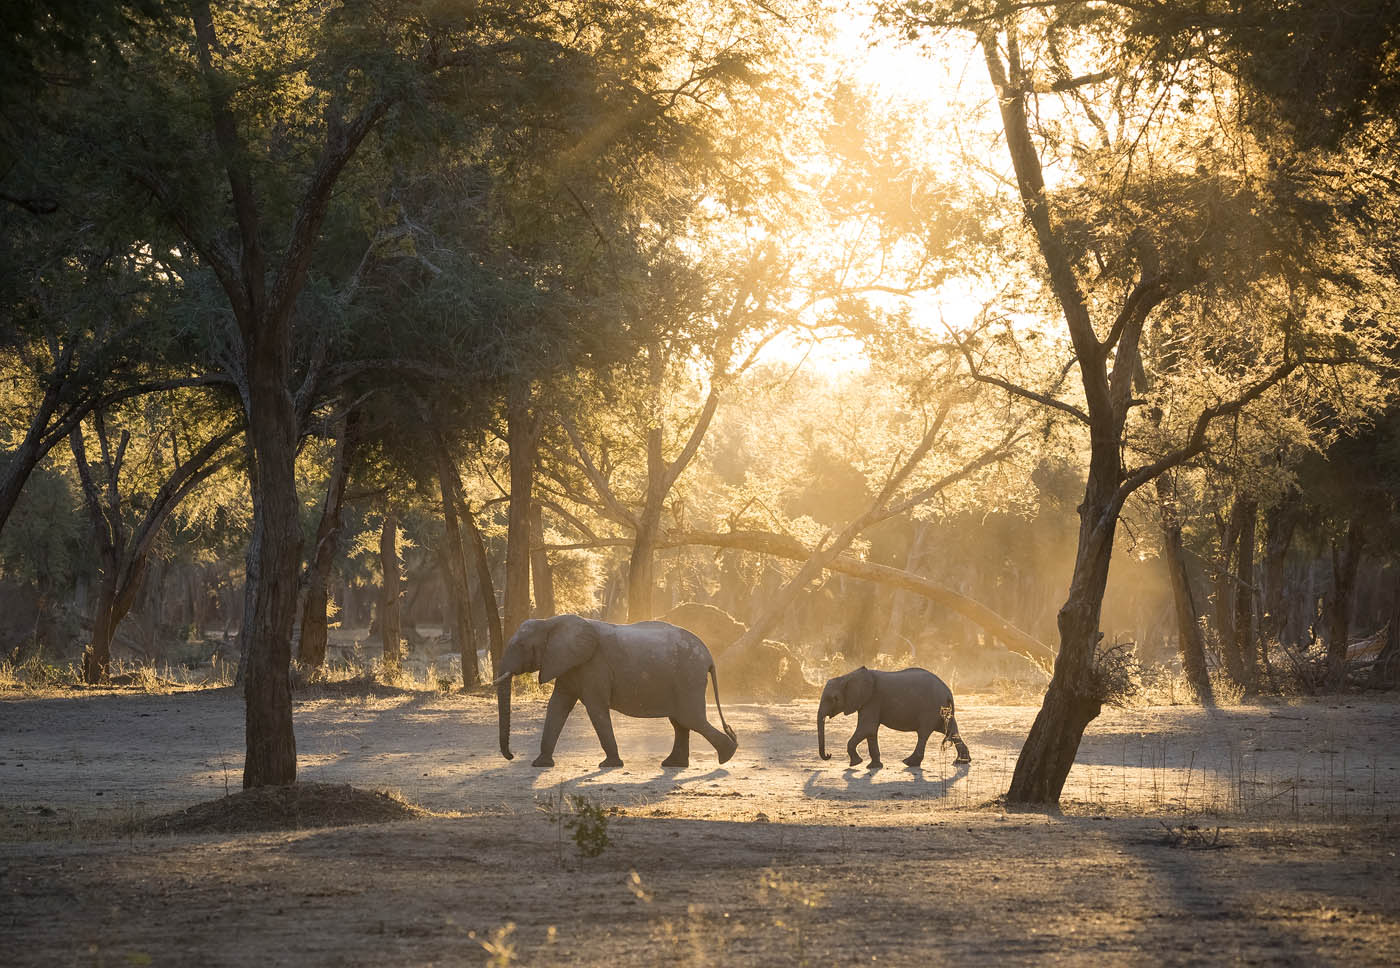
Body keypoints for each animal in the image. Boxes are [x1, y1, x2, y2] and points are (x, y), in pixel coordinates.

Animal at [495, 616, 739, 767]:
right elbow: (558, 705)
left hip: (688, 677)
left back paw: (727, 756)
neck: (551, 622)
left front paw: (609, 765)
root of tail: (709, 657)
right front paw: (540, 764)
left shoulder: (593, 666)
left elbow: (596, 708)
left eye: (521, 647)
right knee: (680, 721)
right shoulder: (568, 664)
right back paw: (674, 764)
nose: (511, 756)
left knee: (690, 719)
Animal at [817, 664, 968, 767]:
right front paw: (873, 766)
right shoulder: (867, 702)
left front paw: (856, 763)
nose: (829, 755)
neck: (847, 676)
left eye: (834, 699)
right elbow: (871, 731)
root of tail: (948, 693)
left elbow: (867, 728)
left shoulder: (872, 699)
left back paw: (909, 763)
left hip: (930, 710)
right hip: (943, 711)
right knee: (951, 731)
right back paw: (962, 761)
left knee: (923, 733)